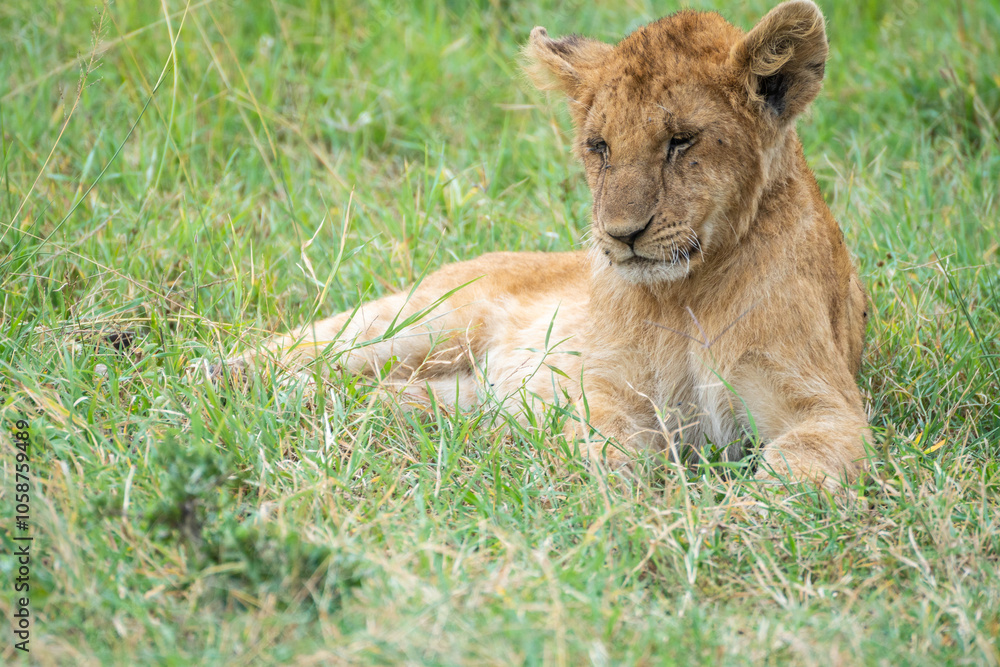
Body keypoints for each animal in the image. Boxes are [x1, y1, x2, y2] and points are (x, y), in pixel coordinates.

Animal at [223, 0, 872, 488]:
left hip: (450, 394)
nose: (621, 235)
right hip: (424, 323)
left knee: (367, 393)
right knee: (309, 348)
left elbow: (793, 477)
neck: (686, 295)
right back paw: (224, 376)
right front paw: (631, 506)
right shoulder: (605, 386)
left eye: (681, 141)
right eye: (599, 146)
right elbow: (612, 452)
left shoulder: (826, 406)